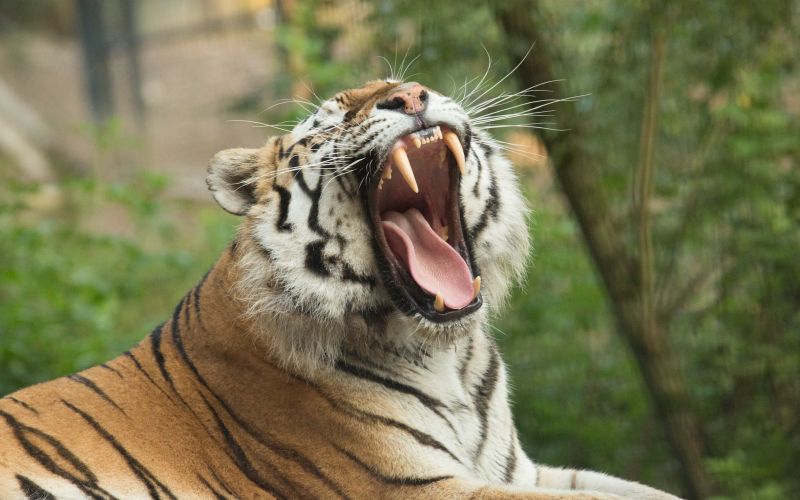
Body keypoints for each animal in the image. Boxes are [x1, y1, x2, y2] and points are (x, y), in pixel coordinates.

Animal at [0, 79, 682, 499]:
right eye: (330, 122)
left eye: (407, 82)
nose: (410, 95)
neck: (449, 353)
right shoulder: (412, 485)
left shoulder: (522, 470)